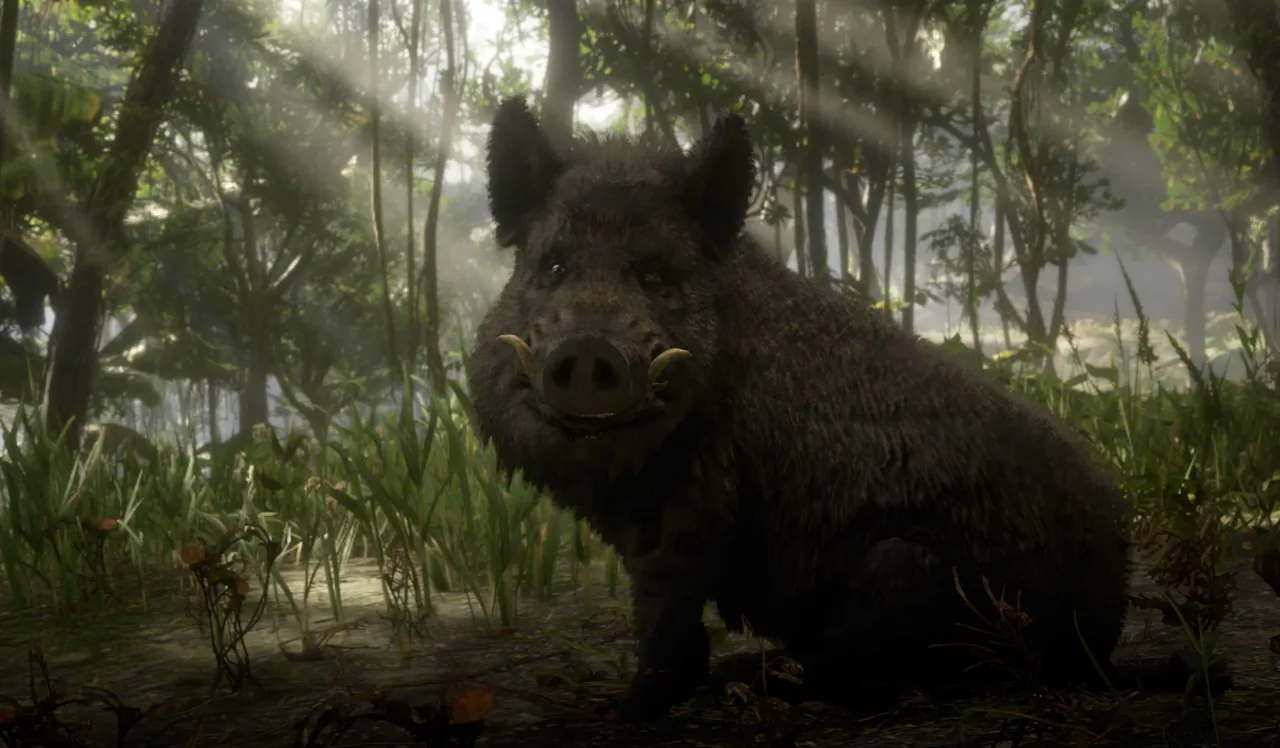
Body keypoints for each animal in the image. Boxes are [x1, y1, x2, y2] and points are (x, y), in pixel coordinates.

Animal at [464, 96, 1224, 722]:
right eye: (552, 266)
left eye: (656, 274)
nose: (588, 346)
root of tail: (1100, 645)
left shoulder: (699, 501)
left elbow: (667, 619)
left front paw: (623, 711)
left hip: (907, 576)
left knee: (882, 676)